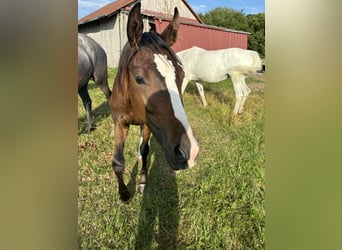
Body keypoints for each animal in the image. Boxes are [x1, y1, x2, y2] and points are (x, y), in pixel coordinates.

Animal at [109, 3, 200, 201]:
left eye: (181, 75)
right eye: (138, 78)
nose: (189, 151)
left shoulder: (147, 124)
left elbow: (145, 151)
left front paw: (142, 182)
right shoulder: (119, 122)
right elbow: (118, 161)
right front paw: (124, 194)